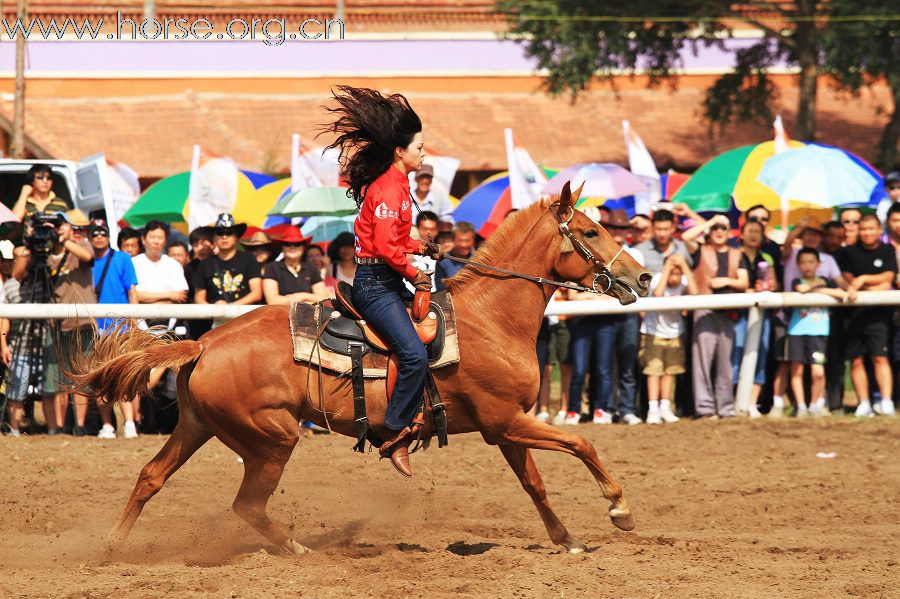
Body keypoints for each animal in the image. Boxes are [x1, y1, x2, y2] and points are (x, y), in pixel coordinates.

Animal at [70, 182, 648, 552]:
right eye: (590, 233)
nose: (642, 278)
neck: (490, 319)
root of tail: (206, 343)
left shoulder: (505, 427)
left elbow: (536, 485)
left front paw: (567, 540)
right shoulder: (506, 421)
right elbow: (582, 443)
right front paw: (619, 510)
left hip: (196, 427)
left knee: (151, 476)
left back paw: (111, 547)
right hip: (272, 438)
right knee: (246, 506)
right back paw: (298, 548)